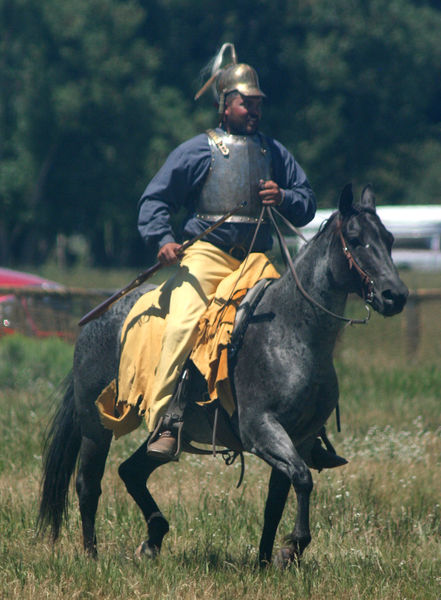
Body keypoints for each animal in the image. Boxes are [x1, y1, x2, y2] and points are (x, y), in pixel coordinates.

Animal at [38, 184, 410, 568]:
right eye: (356, 239)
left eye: (388, 239)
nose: (395, 296)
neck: (291, 331)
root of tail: (95, 319)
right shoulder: (262, 430)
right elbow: (303, 479)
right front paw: (291, 547)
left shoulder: (298, 438)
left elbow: (278, 500)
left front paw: (266, 561)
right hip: (95, 426)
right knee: (88, 483)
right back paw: (92, 554)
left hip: (167, 436)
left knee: (132, 471)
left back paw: (153, 540)